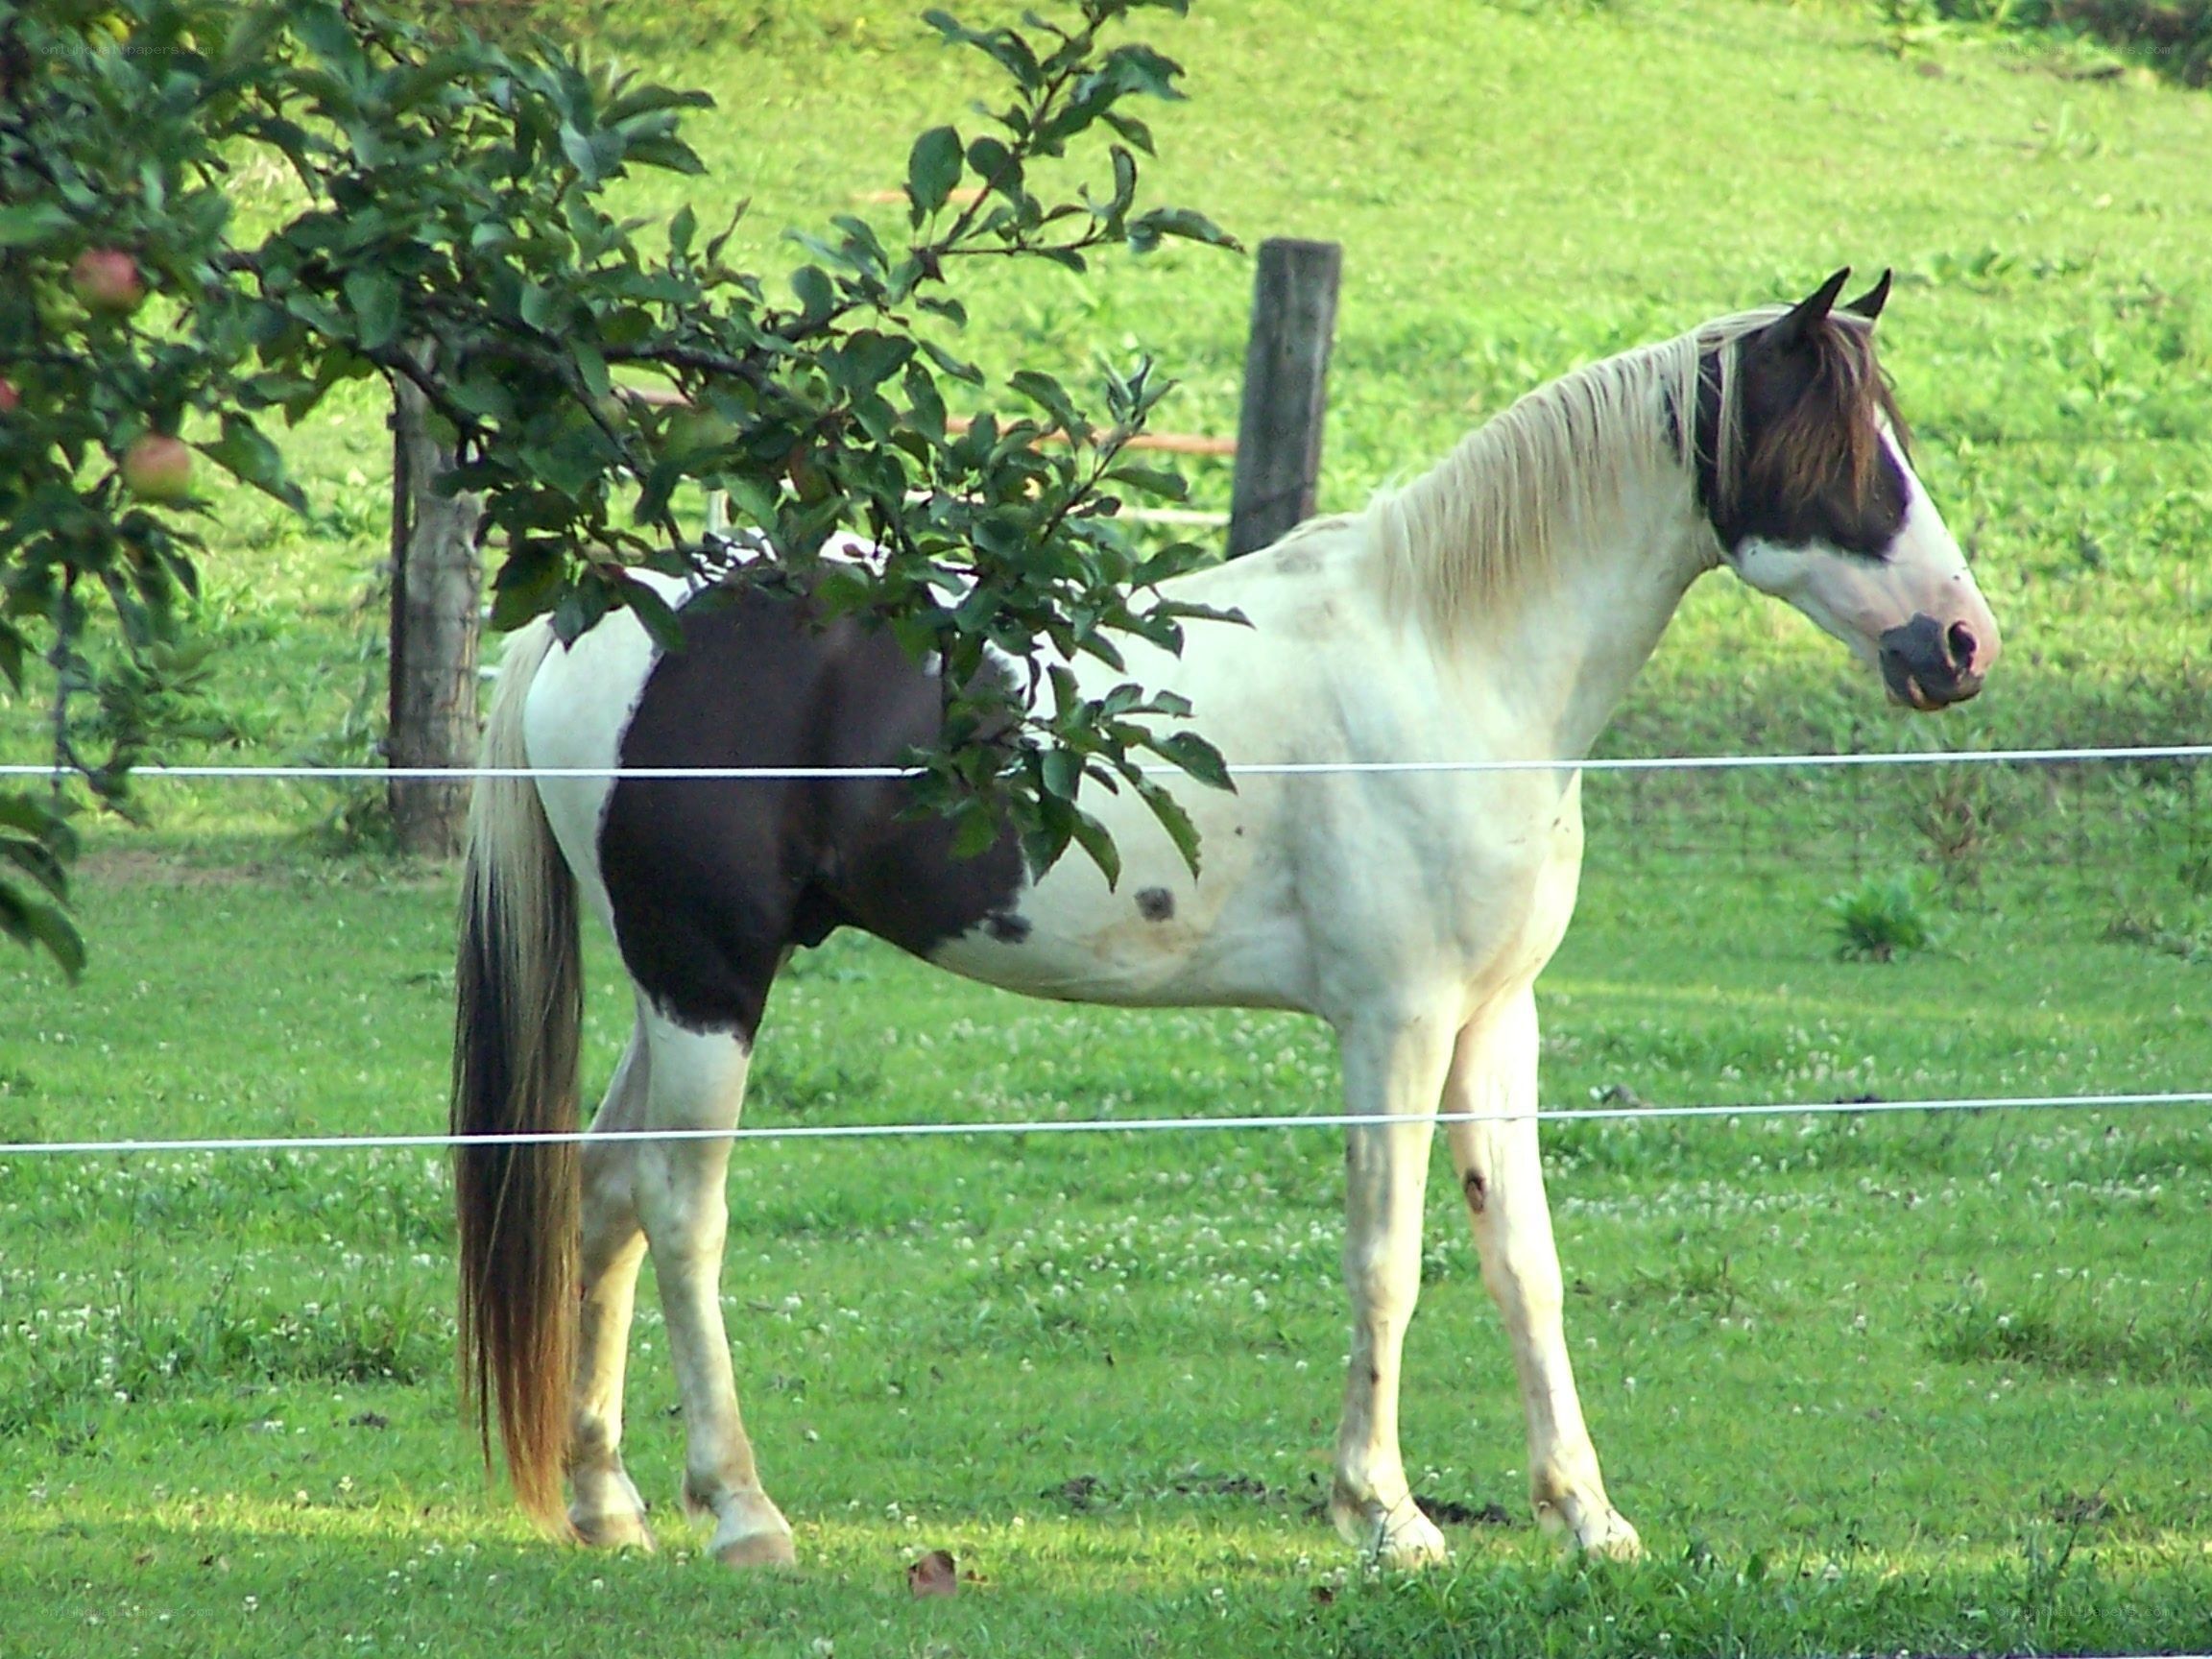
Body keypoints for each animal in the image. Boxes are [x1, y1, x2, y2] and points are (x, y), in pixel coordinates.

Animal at [450, 268, 2000, 1569]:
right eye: (1850, 457)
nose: (1961, 644)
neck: (1450, 657)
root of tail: (609, 612)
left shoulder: (1495, 1020)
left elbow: (1526, 1267)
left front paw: (1586, 1517)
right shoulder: (1395, 1024)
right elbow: (1387, 1264)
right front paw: (1386, 1518)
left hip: (675, 987)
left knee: (602, 1197)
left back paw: (608, 1502)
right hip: (711, 981)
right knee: (679, 1211)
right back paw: (743, 1513)